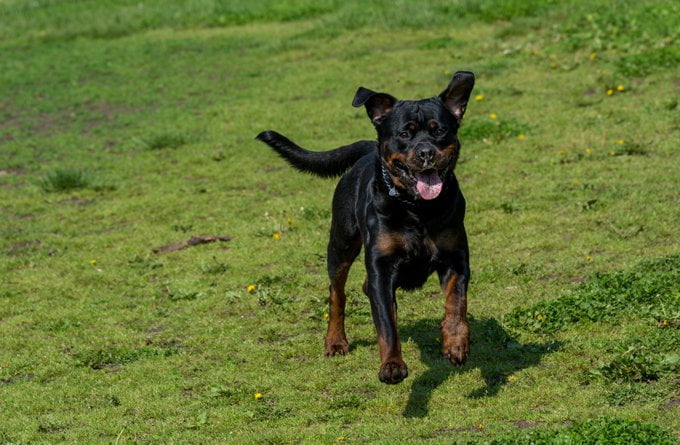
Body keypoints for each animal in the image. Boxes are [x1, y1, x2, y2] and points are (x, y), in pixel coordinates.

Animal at [258, 71, 476, 384]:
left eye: (439, 131)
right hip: (341, 243)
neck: (416, 209)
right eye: (404, 134)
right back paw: (335, 341)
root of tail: (366, 149)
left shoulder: (454, 256)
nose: (426, 153)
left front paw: (456, 344)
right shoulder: (381, 267)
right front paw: (392, 365)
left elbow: (456, 304)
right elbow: (386, 325)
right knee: (337, 293)